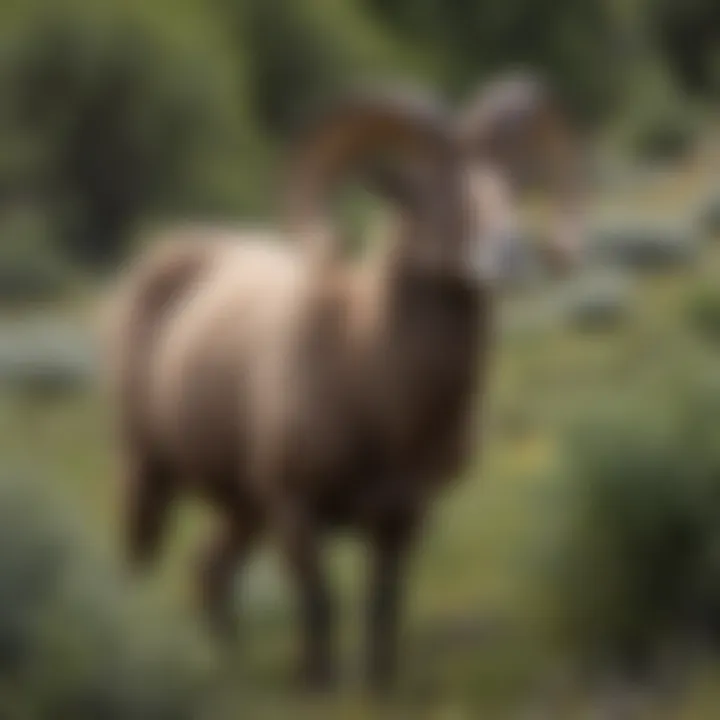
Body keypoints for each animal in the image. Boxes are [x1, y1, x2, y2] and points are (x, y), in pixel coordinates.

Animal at [101, 74, 584, 692]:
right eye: (425, 193)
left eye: (508, 186)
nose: (509, 253)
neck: (370, 380)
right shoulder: (296, 513)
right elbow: (320, 607)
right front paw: (317, 685)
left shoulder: (401, 519)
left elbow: (383, 609)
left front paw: (378, 687)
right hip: (149, 471)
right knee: (139, 568)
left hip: (242, 508)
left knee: (210, 571)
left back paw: (223, 666)